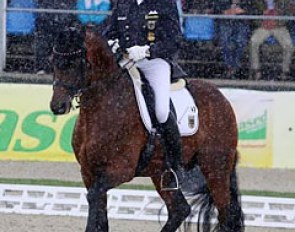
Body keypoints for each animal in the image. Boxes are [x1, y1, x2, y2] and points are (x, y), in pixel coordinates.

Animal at [50, 25, 245, 232]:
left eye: (75, 63)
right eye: (53, 61)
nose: (57, 106)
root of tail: (221, 97)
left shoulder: (121, 170)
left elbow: (93, 197)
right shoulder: (88, 172)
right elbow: (99, 213)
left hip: (216, 167)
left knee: (226, 215)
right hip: (160, 170)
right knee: (180, 209)